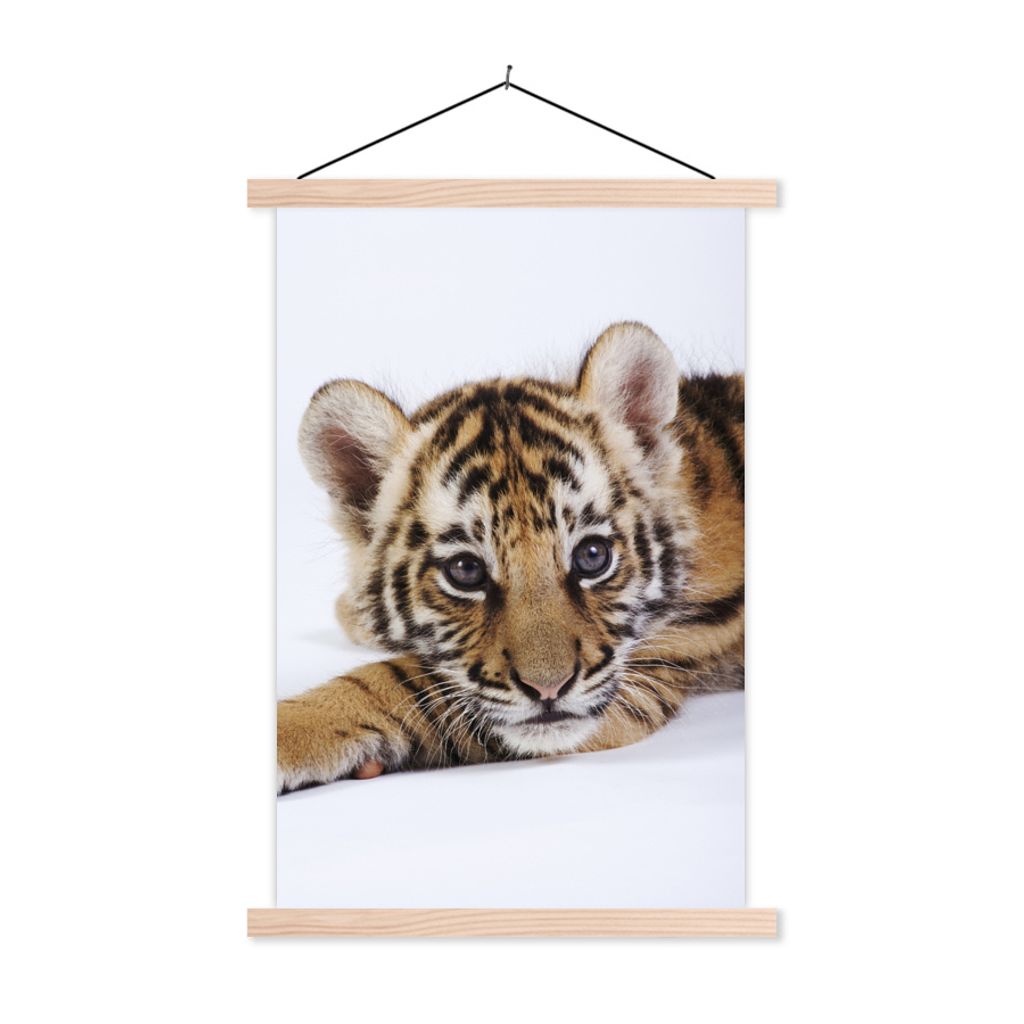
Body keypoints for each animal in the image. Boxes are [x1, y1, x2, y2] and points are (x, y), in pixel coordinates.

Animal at [277, 321, 744, 793]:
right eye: (466, 571)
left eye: (593, 556)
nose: (549, 690)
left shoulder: (644, 676)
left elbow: (397, 684)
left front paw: (287, 732)